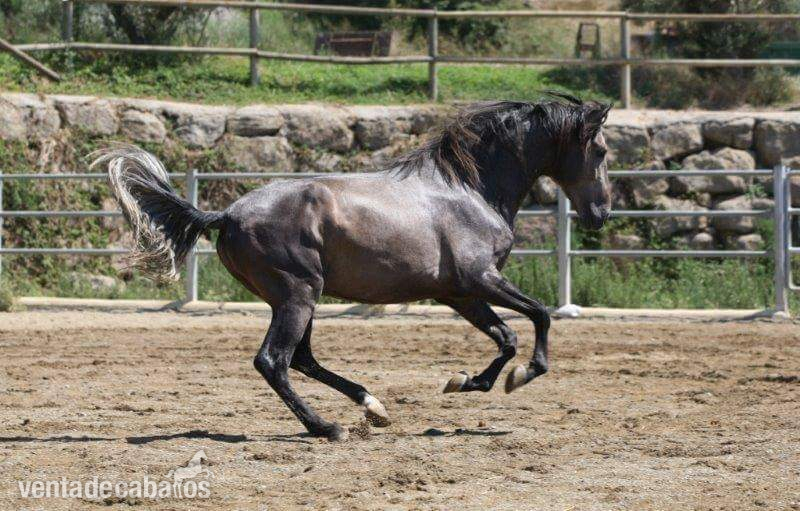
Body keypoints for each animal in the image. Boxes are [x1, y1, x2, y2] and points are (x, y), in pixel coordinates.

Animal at [94, 93, 612, 441]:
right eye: (603, 151)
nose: (601, 214)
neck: (471, 188)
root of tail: (225, 215)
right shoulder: (479, 279)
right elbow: (539, 315)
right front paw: (518, 376)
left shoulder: (458, 293)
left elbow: (506, 336)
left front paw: (468, 382)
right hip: (298, 295)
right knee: (274, 361)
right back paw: (327, 427)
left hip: (299, 298)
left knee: (301, 358)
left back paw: (372, 406)